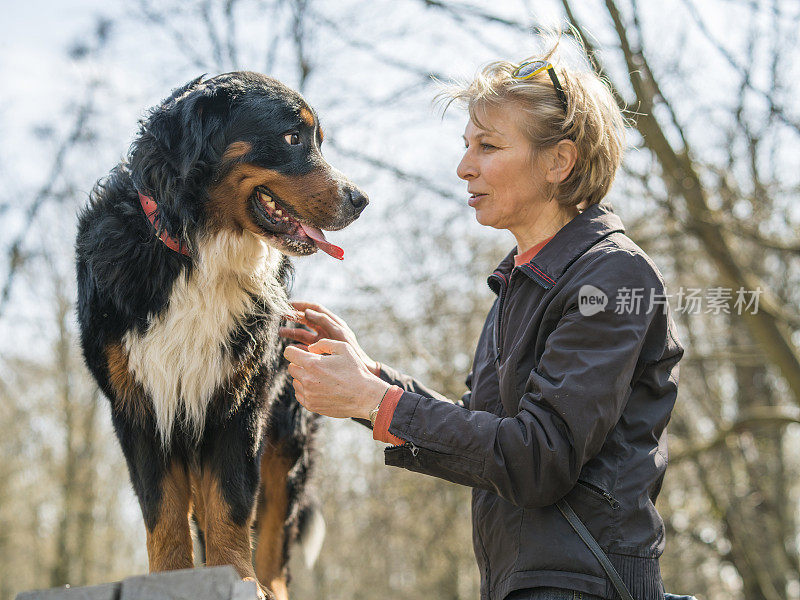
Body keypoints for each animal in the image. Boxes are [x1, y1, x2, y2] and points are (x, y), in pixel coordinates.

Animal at [75, 72, 368, 596]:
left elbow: (230, 504)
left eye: (317, 140)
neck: (198, 254)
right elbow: (163, 513)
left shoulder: (241, 400)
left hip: (286, 443)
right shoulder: (139, 405)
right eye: (291, 137)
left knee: (272, 537)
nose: (360, 200)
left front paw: (241, 578)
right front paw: (170, 578)